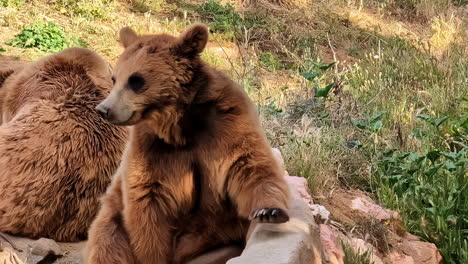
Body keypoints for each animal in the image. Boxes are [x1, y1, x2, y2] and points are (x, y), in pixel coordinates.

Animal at [83, 23, 288, 262]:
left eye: (136, 80)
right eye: (115, 78)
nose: (104, 109)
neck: (180, 123)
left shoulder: (227, 124)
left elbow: (249, 165)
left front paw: (269, 211)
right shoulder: (152, 145)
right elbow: (147, 198)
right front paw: (154, 255)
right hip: (112, 217)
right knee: (107, 241)